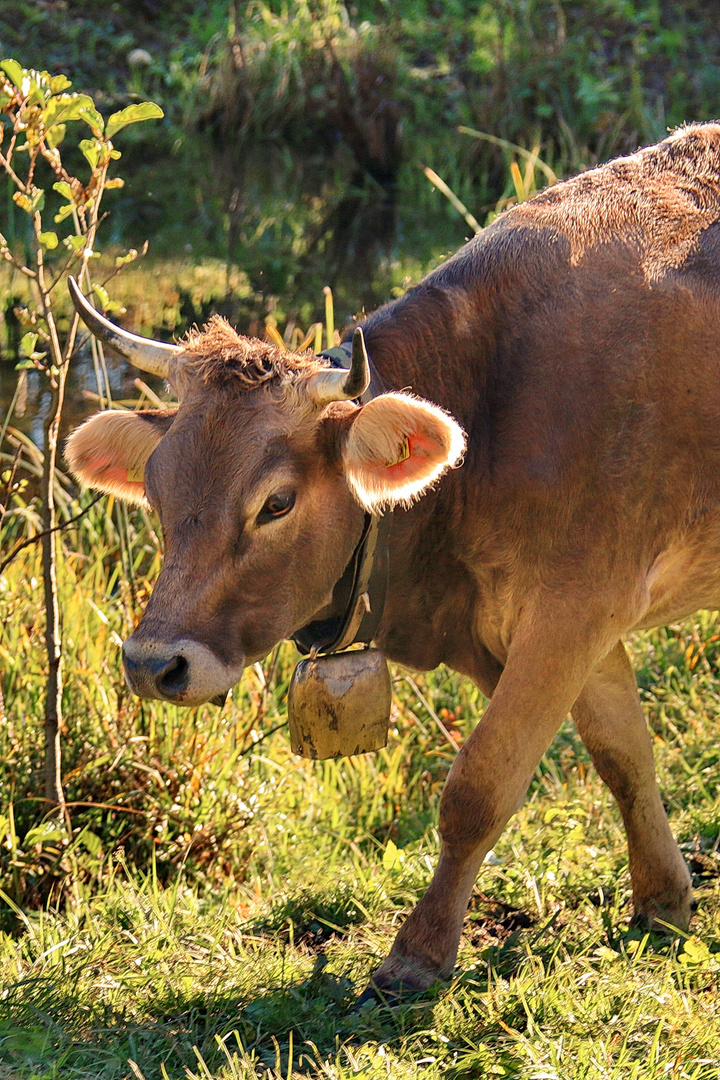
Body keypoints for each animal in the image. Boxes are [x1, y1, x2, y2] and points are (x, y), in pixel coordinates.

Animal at [64, 124, 720, 993]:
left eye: (276, 503)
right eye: (160, 492)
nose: (151, 664)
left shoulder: (574, 606)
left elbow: (479, 784)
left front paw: (419, 952)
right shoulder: (569, 623)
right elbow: (624, 756)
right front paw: (664, 903)